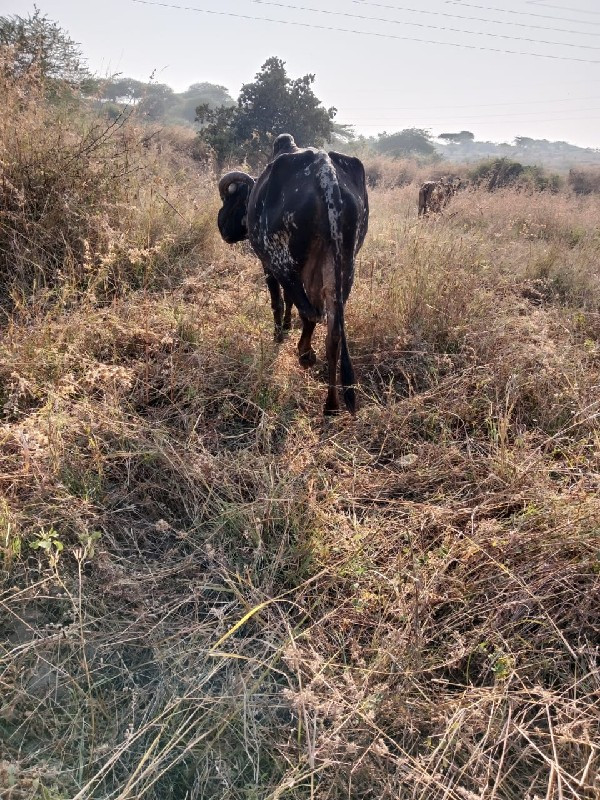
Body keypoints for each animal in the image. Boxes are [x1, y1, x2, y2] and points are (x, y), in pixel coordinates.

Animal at [218, 134, 368, 416]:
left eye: (231, 201)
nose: (221, 226)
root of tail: (326, 173)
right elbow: (290, 302)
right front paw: (287, 327)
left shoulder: (268, 263)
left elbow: (278, 302)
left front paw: (279, 333)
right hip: (344, 266)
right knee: (332, 330)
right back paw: (331, 405)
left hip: (286, 263)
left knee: (311, 313)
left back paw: (305, 354)